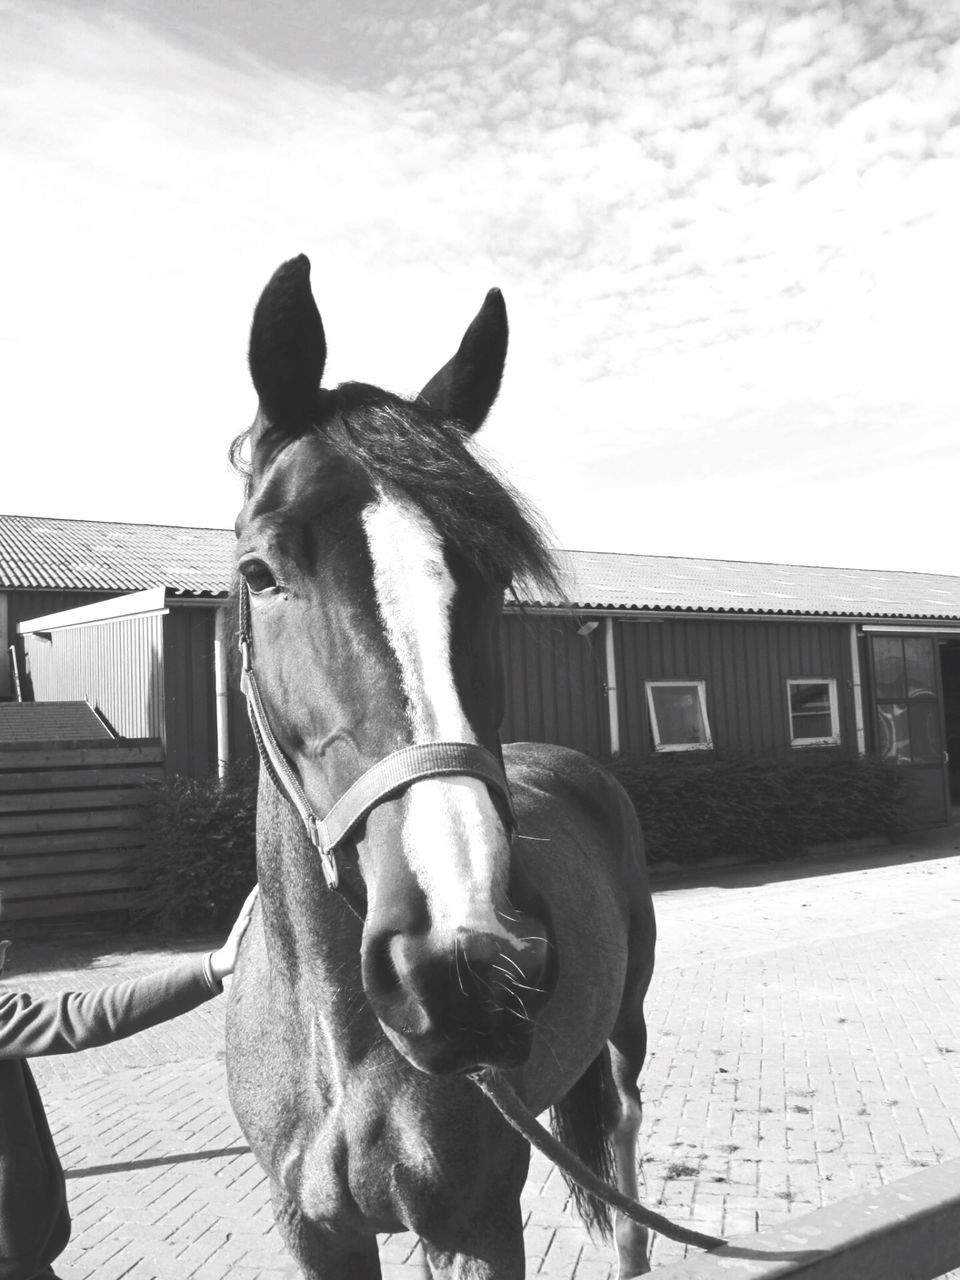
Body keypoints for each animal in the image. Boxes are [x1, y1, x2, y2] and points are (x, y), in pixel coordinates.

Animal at [226, 254, 660, 1274]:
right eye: (261, 573)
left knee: (622, 1143)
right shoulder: (312, 1233)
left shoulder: (473, 1224)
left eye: (494, 576)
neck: (334, 1046)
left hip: (629, 1025)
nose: (464, 955)